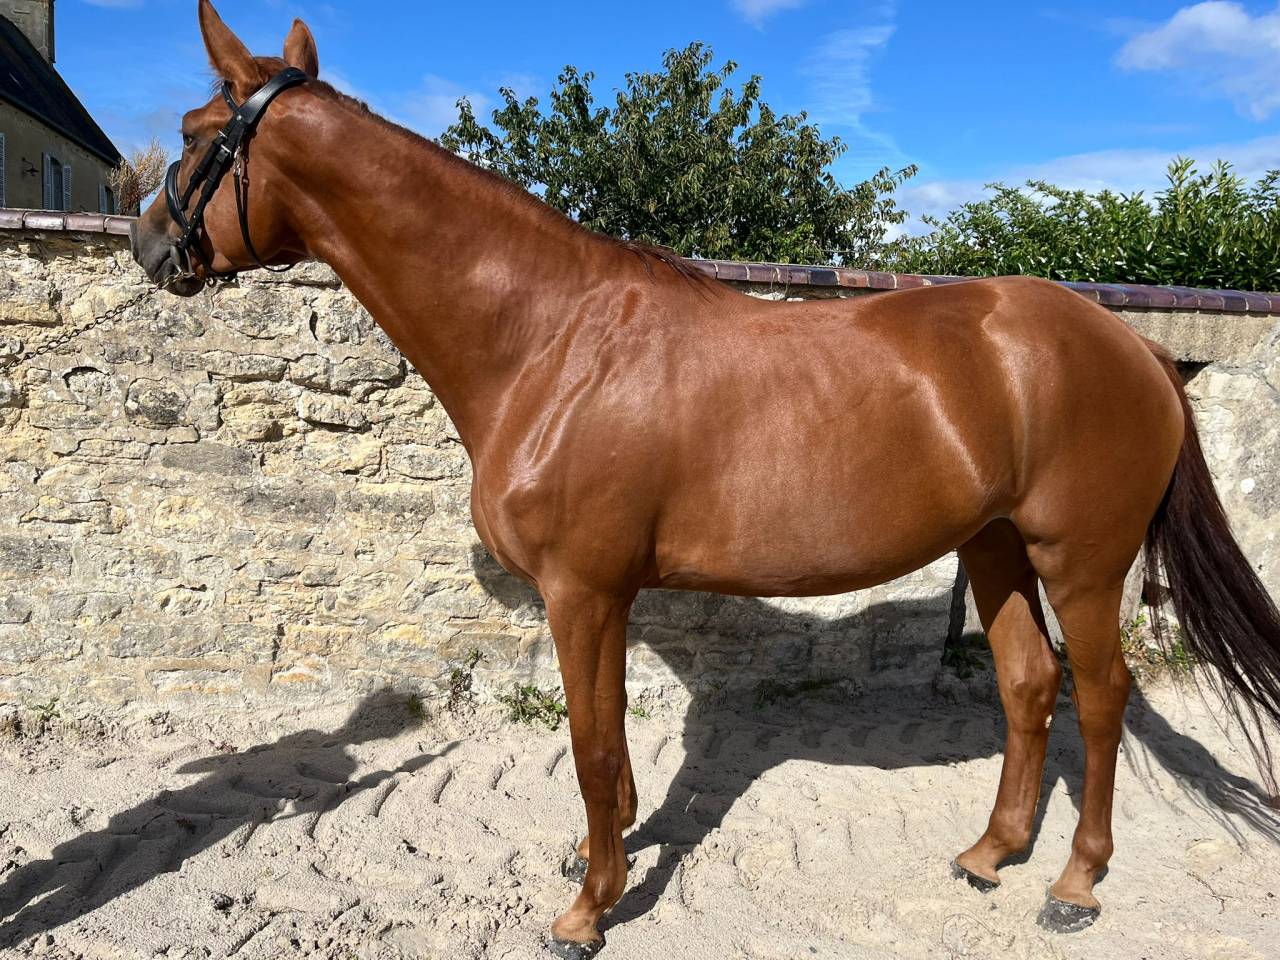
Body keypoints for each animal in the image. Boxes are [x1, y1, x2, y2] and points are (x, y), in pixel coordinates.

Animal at [130, 3, 1280, 955]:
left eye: (192, 133)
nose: (148, 245)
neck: (548, 343)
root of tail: (1133, 347)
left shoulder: (583, 592)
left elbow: (593, 748)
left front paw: (585, 912)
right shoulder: (602, 597)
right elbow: (609, 755)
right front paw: (602, 860)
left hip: (1078, 558)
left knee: (1101, 696)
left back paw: (1075, 885)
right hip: (993, 546)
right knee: (1028, 684)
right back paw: (989, 855)